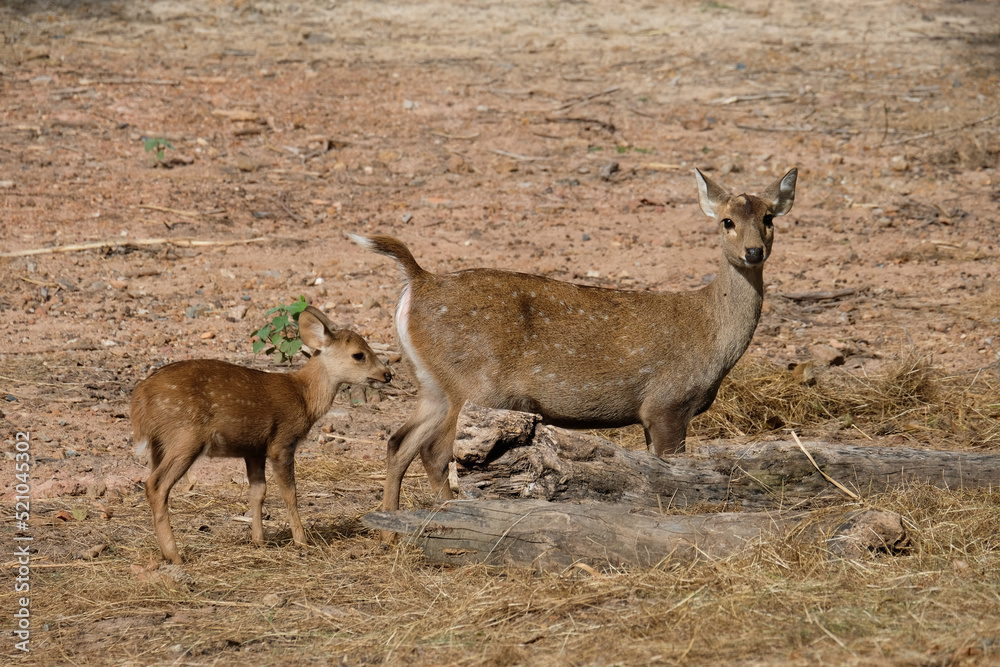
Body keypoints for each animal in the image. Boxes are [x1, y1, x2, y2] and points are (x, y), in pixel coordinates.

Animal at [131, 306, 392, 564]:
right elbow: (290, 493)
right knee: (156, 485)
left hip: (160, 443)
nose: (387, 374)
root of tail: (141, 396)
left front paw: (259, 541)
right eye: (358, 355)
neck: (304, 398)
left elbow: (258, 492)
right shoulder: (282, 442)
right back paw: (174, 555)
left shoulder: (254, 449)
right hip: (186, 436)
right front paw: (302, 541)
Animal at [352, 167, 796, 514]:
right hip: (475, 384)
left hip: (432, 383)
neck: (711, 336)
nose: (754, 251)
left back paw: (389, 522)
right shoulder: (667, 402)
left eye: (769, 217)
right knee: (434, 452)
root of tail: (419, 280)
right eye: (727, 221)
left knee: (398, 442)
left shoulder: (654, 413)